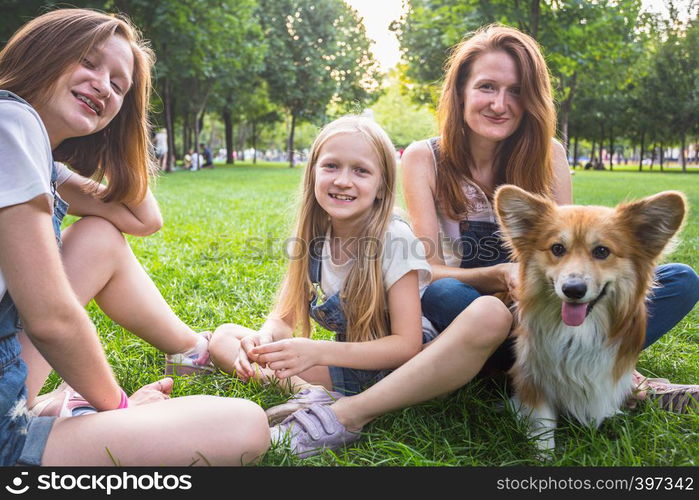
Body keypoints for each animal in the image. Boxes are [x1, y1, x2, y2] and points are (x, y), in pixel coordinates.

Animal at [494, 186, 688, 456]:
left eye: (602, 251)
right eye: (557, 249)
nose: (573, 289)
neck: (579, 331)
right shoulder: (531, 374)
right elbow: (543, 419)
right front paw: (544, 452)